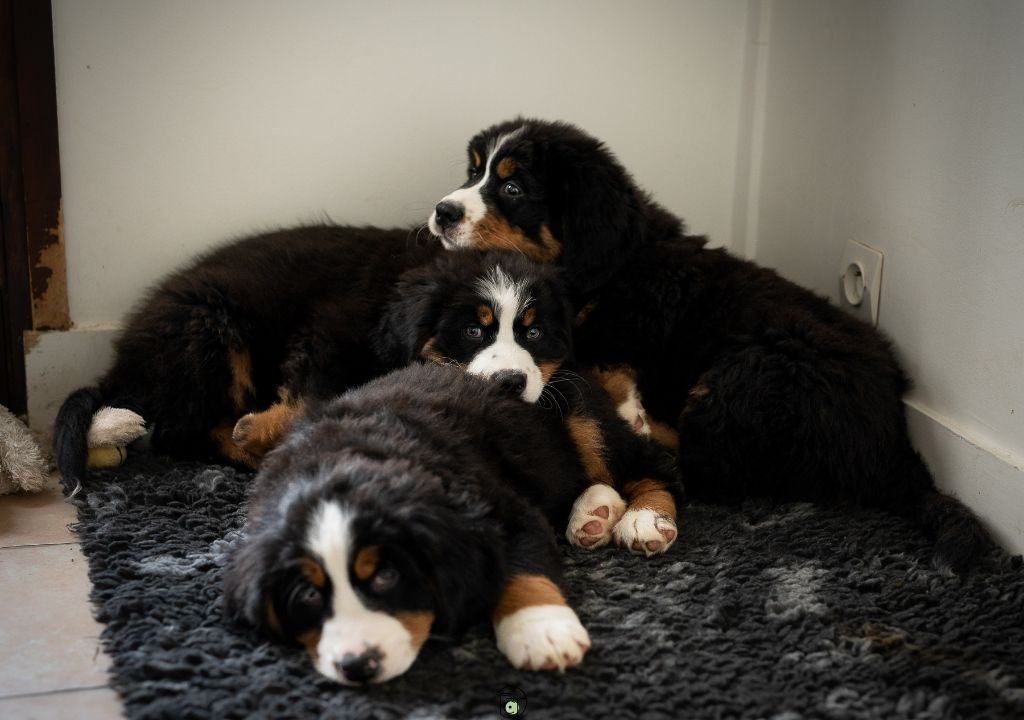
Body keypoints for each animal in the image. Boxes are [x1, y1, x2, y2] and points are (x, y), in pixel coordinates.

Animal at [228, 362, 622, 684]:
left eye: (387, 576)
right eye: (309, 595)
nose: (358, 665)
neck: (344, 464)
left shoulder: (506, 510)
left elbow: (526, 569)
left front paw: (542, 631)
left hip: (585, 419)